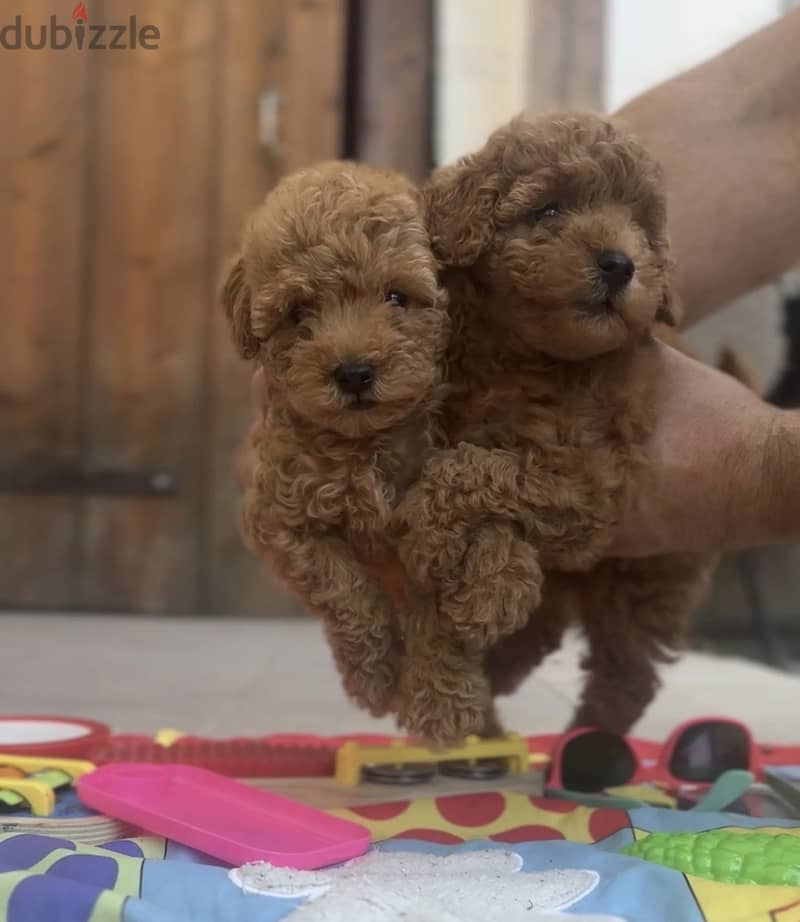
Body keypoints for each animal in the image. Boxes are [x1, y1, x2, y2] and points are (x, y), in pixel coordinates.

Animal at [222, 160, 536, 740]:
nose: (353, 373)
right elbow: (345, 590)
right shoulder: (280, 520)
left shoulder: (437, 505)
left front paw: (446, 692)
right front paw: (376, 676)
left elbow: (457, 583)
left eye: (396, 297)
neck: (369, 440)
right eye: (299, 312)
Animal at [406, 113, 720, 732]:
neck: (525, 355)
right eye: (548, 209)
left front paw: (445, 537)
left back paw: (585, 737)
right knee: (548, 630)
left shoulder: (582, 478)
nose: (620, 264)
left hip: (641, 573)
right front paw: (489, 585)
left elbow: (479, 469)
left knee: (628, 670)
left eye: (639, 226)